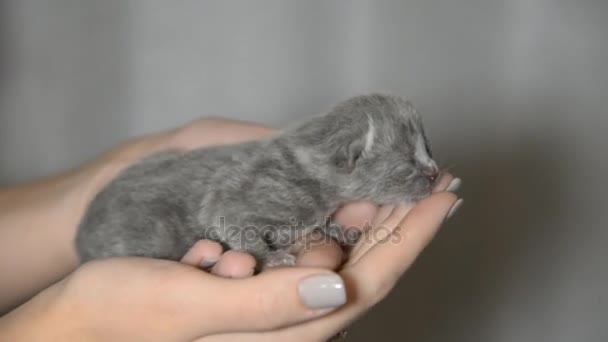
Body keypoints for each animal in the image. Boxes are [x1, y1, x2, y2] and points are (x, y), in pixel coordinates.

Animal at [76, 94, 440, 270]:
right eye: (407, 164)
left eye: (428, 147)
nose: (435, 173)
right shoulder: (235, 201)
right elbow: (235, 226)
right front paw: (270, 258)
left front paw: (336, 230)